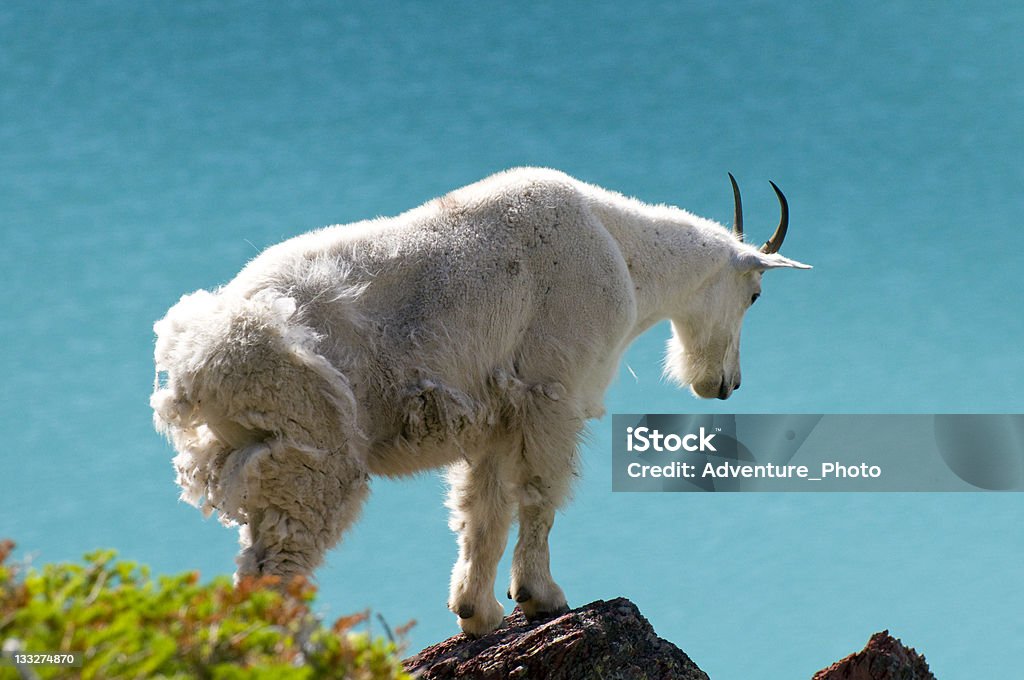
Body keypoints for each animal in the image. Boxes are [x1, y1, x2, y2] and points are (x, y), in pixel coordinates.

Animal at [149, 168, 806, 639]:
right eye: (755, 294)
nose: (725, 384)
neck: (621, 247)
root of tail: (195, 357)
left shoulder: (494, 416)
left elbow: (482, 512)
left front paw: (477, 613)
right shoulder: (552, 392)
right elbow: (540, 494)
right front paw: (542, 596)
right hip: (309, 441)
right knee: (278, 567)